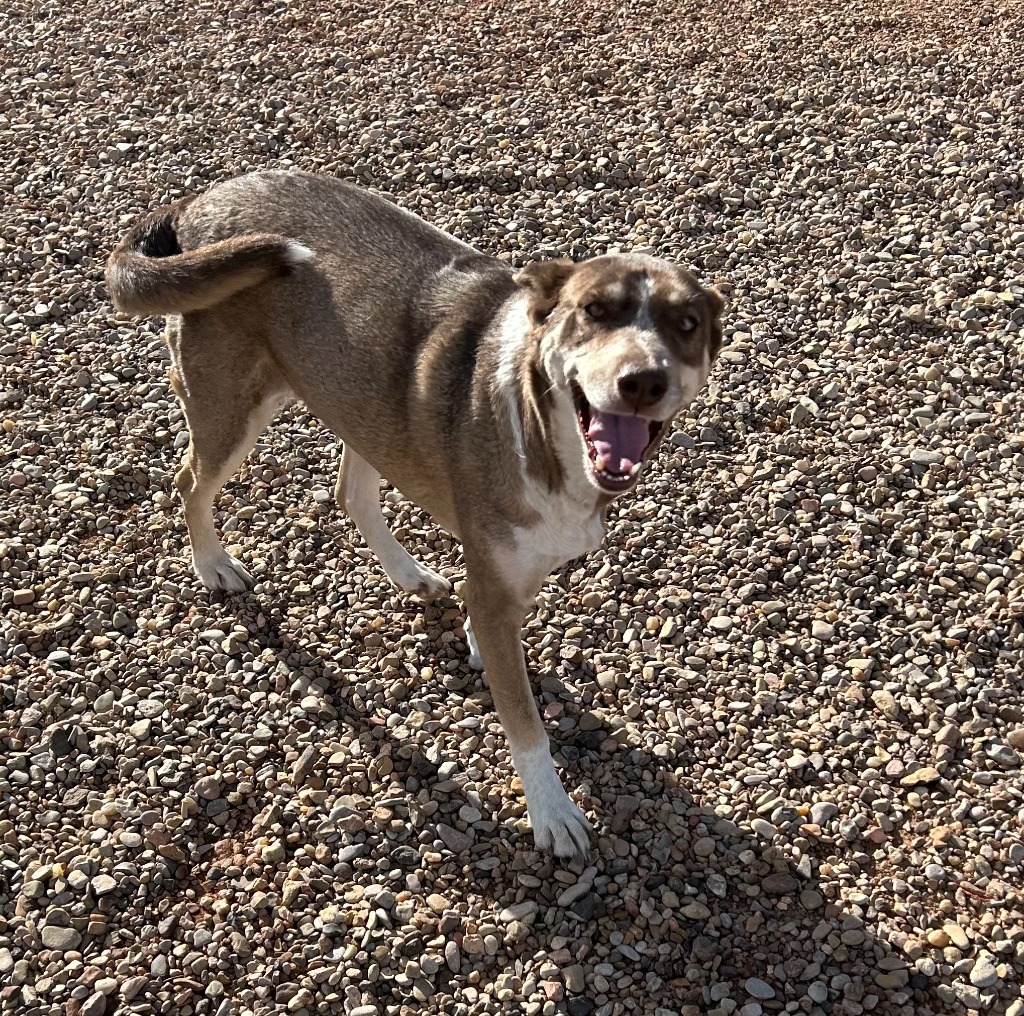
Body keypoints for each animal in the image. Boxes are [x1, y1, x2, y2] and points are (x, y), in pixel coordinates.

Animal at [108, 173, 724, 856]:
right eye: (594, 311)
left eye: (687, 323)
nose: (643, 381)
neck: (542, 427)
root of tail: (198, 202)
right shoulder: (496, 571)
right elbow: (524, 721)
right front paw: (552, 811)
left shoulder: (514, 563)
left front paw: (477, 639)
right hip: (232, 406)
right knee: (190, 482)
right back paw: (213, 564)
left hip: (361, 398)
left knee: (350, 491)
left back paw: (409, 575)